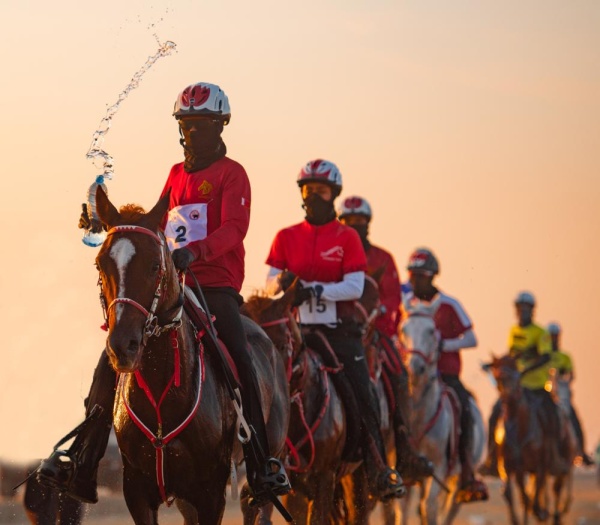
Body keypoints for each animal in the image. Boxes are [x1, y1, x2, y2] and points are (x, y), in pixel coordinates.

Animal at [488, 354, 576, 520]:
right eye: (496, 372)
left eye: (515, 369)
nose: (506, 393)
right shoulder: (510, 467)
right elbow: (515, 495)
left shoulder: (541, 465)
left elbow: (533, 499)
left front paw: (542, 512)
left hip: (563, 461)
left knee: (556, 488)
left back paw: (554, 514)